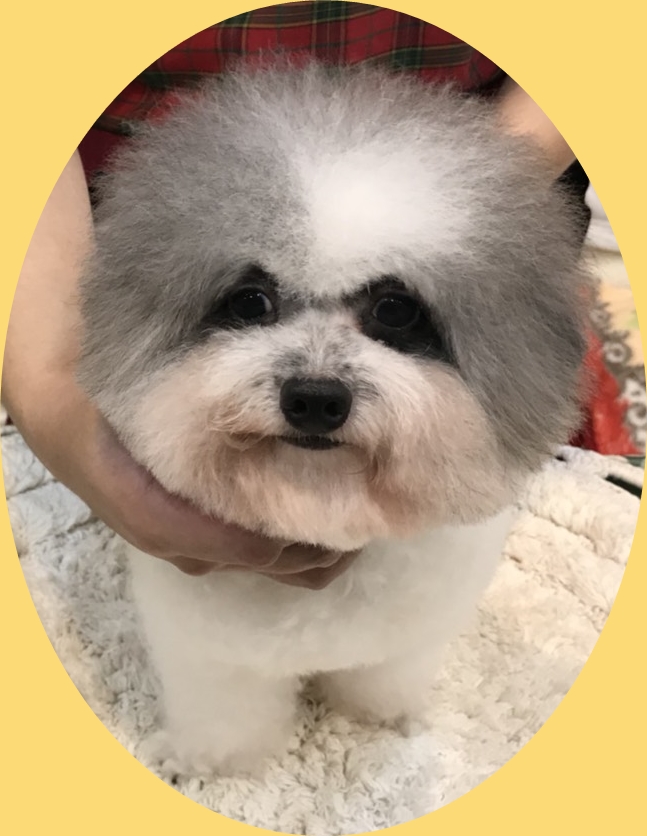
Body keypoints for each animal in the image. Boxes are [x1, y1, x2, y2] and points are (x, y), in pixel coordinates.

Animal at [78, 62, 588, 775]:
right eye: (250, 301)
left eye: (396, 310)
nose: (315, 398)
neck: (318, 503)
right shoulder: (211, 656)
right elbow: (225, 717)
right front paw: (214, 765)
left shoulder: (407, 638)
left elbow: (382, 678)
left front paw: (380, 717)